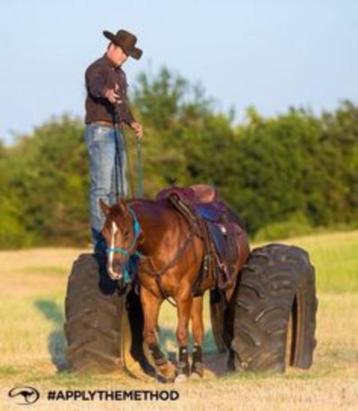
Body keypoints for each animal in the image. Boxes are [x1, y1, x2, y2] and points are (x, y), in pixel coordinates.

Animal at [98, 190, 249, 384]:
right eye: (104, 233)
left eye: (126, 232)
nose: (113, 270)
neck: (162, 242)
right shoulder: (150, 295)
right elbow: (149, 333)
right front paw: (166, 368)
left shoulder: (182, 294)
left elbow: (181, 333)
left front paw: (182, 371)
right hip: (197, 293)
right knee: (198, 329)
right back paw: (197, 369)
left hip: (229, 287)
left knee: (228, 322)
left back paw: (232, 363)